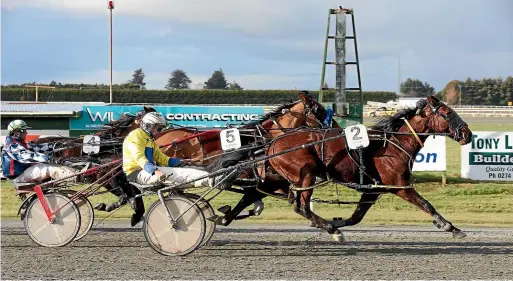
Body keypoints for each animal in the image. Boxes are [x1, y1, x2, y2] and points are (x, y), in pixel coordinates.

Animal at [264, 95, 472, 241]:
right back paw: (332, 230)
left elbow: (356, 217)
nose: (467, 134)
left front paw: (335, 222)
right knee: (301, 207)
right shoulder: (400, 186)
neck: (395, 144)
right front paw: (451, 227)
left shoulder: (373, 190)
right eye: (448, 113)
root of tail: (273, 143)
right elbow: (426, 204)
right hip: (306, 176)